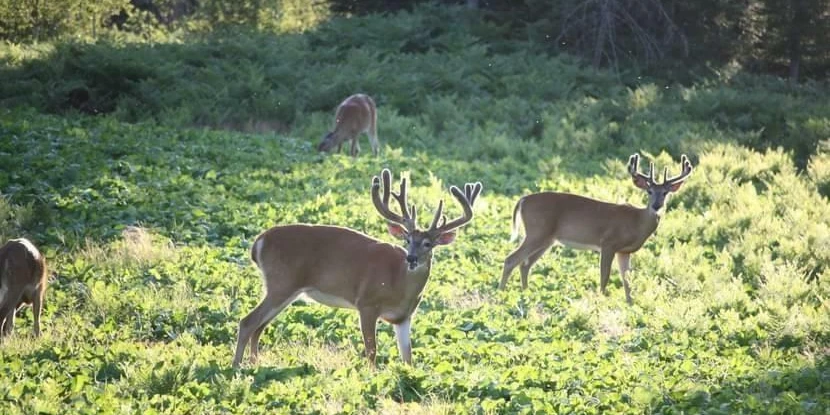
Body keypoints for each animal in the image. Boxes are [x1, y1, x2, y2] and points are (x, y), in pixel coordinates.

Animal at [233, 169, 482, 368]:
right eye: (408, 239)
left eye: (428, 244)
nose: (411, 258)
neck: (399, 284)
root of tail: (258, 242)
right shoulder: (367, 303)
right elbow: (372, 350)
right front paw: (372, 376)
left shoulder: (404, 317)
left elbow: (407, 356)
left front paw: (407, 376)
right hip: (281, 283)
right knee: (248, 322)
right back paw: (236, 367)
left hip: (285, 290)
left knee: (259, 326)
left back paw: (255, 363)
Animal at [500, 154, 693, 304]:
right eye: (649, 191)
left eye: (665, 193)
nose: (656, 206)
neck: (637, 222)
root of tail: (522, 200)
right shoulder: (608, 243)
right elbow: (604, 276)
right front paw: (601, 300)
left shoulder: (625, 251)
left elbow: (627, 280)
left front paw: (631, 304)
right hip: (537, 232)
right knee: (511, 259)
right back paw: (501, 295)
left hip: (547, 239)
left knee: (525, 264)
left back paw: (526, 293)